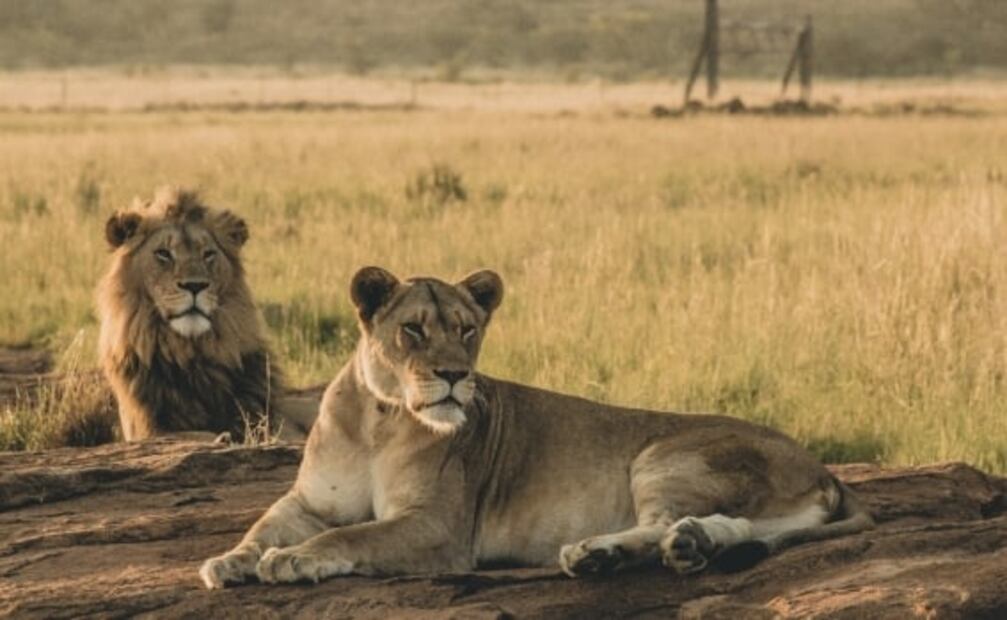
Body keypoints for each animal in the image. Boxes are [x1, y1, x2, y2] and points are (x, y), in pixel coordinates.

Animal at [98, 188, 315, 443]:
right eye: (163, 254)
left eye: (208, 254)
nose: (195, 285)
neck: (192, 355)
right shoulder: (149, 428)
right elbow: (192, 435)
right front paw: (221, 438)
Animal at [200, 266, 873, 587]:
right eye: (413, 329)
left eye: (468, 330)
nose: (455, 375)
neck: (380, 417)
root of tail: (824, 469)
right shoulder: (308, 500)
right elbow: (263, 527)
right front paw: (229, 561)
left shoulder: (439, 528)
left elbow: (352, 536)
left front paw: (295, 560)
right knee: (729, 528)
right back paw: (685, 547)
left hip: (664, 455)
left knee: (663, 522)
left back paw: (597, 553)